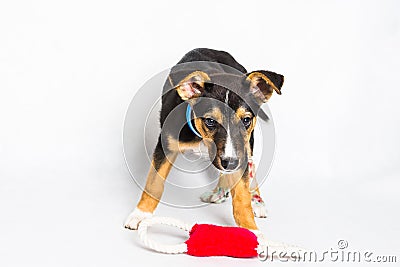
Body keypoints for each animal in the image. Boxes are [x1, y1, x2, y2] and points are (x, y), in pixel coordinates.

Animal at [123, 48, 282, 232]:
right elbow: (154, 182)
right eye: (210, 121)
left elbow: (242, 197)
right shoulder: (165, 146)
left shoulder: (239, 151)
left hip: (247, 144)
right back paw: (219, 192)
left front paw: (251, 230)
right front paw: (141, 214)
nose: (231, 163)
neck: (200, 137)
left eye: (246, 120)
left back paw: (256, 201)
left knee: (251, 167)